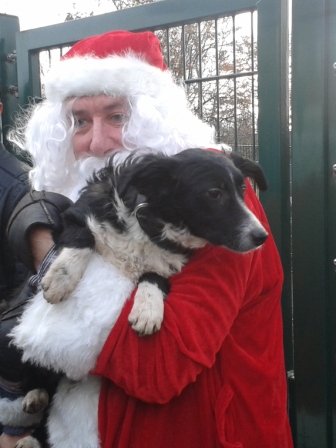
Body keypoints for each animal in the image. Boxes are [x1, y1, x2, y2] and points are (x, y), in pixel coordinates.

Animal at [9, 148, 270, 448]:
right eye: (214, 193)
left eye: (243, 190)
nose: (262, 236)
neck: (151, 225)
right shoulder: (74, 216)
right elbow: (82, 236)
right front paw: (62, 276)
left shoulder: (172, 262)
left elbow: (154, 276)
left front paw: (147, 309)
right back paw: (33, 402)